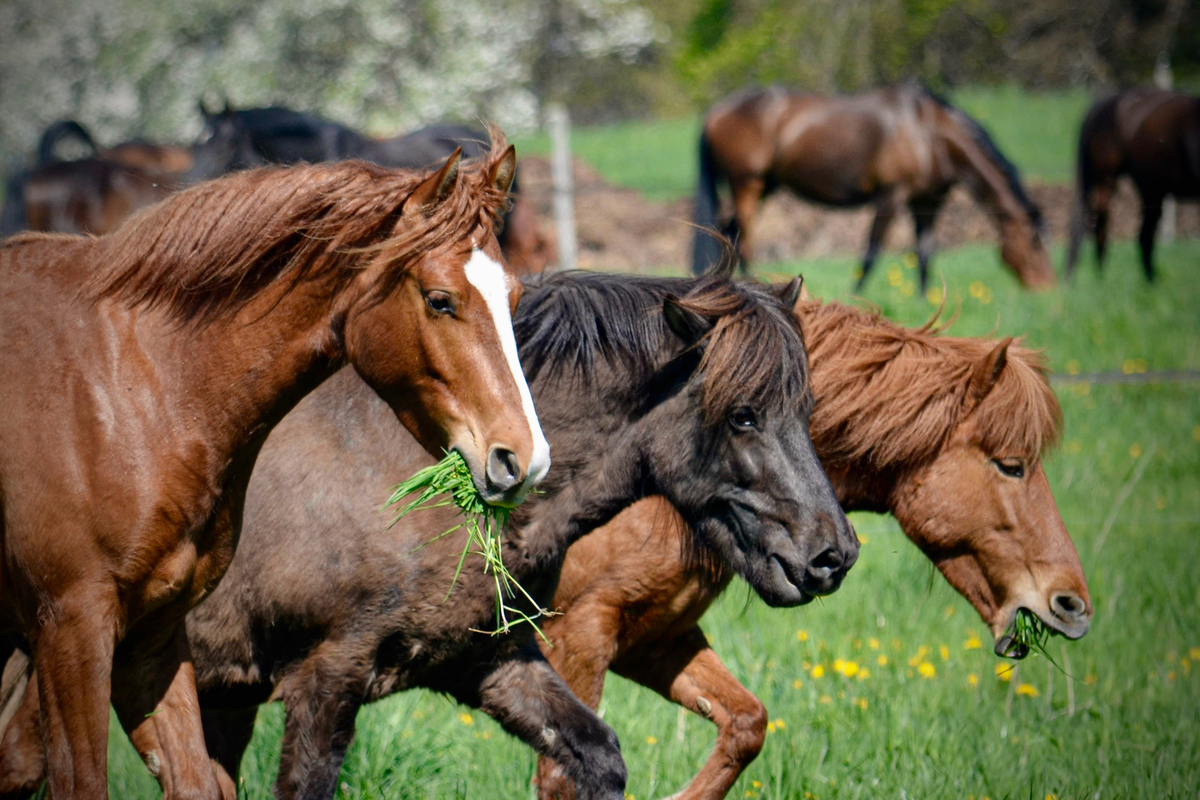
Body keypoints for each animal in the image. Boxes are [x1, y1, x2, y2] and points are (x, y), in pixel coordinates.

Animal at [0, 137, 549, 800]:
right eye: (439, 300)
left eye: (513, 297)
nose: (524, 459)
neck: (138, 387)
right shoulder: (72, 629)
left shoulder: (150, 636)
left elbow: (195, 780)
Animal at [0, 272, 864, 800]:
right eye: (742, 414)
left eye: (806, 406)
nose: (832, 555)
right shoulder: (326, 680)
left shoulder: (491, 663)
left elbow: (593, 757)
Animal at [696, 81, 1051, 292]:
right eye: (1035, 244)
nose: (1046, 288)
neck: (929, 134)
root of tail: (715, 112)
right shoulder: (891, 197)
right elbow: (872, 250)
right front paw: (856, 297)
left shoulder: (927, 202)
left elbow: (925, 254)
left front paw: (925, 304)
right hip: (747, 183)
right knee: (743, 233)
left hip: (766, 185)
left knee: (731, 230)